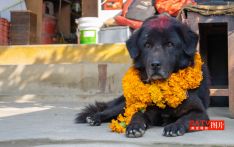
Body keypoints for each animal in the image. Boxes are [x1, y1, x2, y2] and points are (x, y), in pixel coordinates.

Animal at [75, 14, 210, 138]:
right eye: (147, 45)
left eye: (170, 44)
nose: (155, 65)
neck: (162, 88)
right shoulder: (145, 109)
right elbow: (137, 114)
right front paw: (134, 126)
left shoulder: (199, 112)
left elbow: (185, 119)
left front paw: (174, 126)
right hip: (125, 105)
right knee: (110, 111)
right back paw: (94, 117)